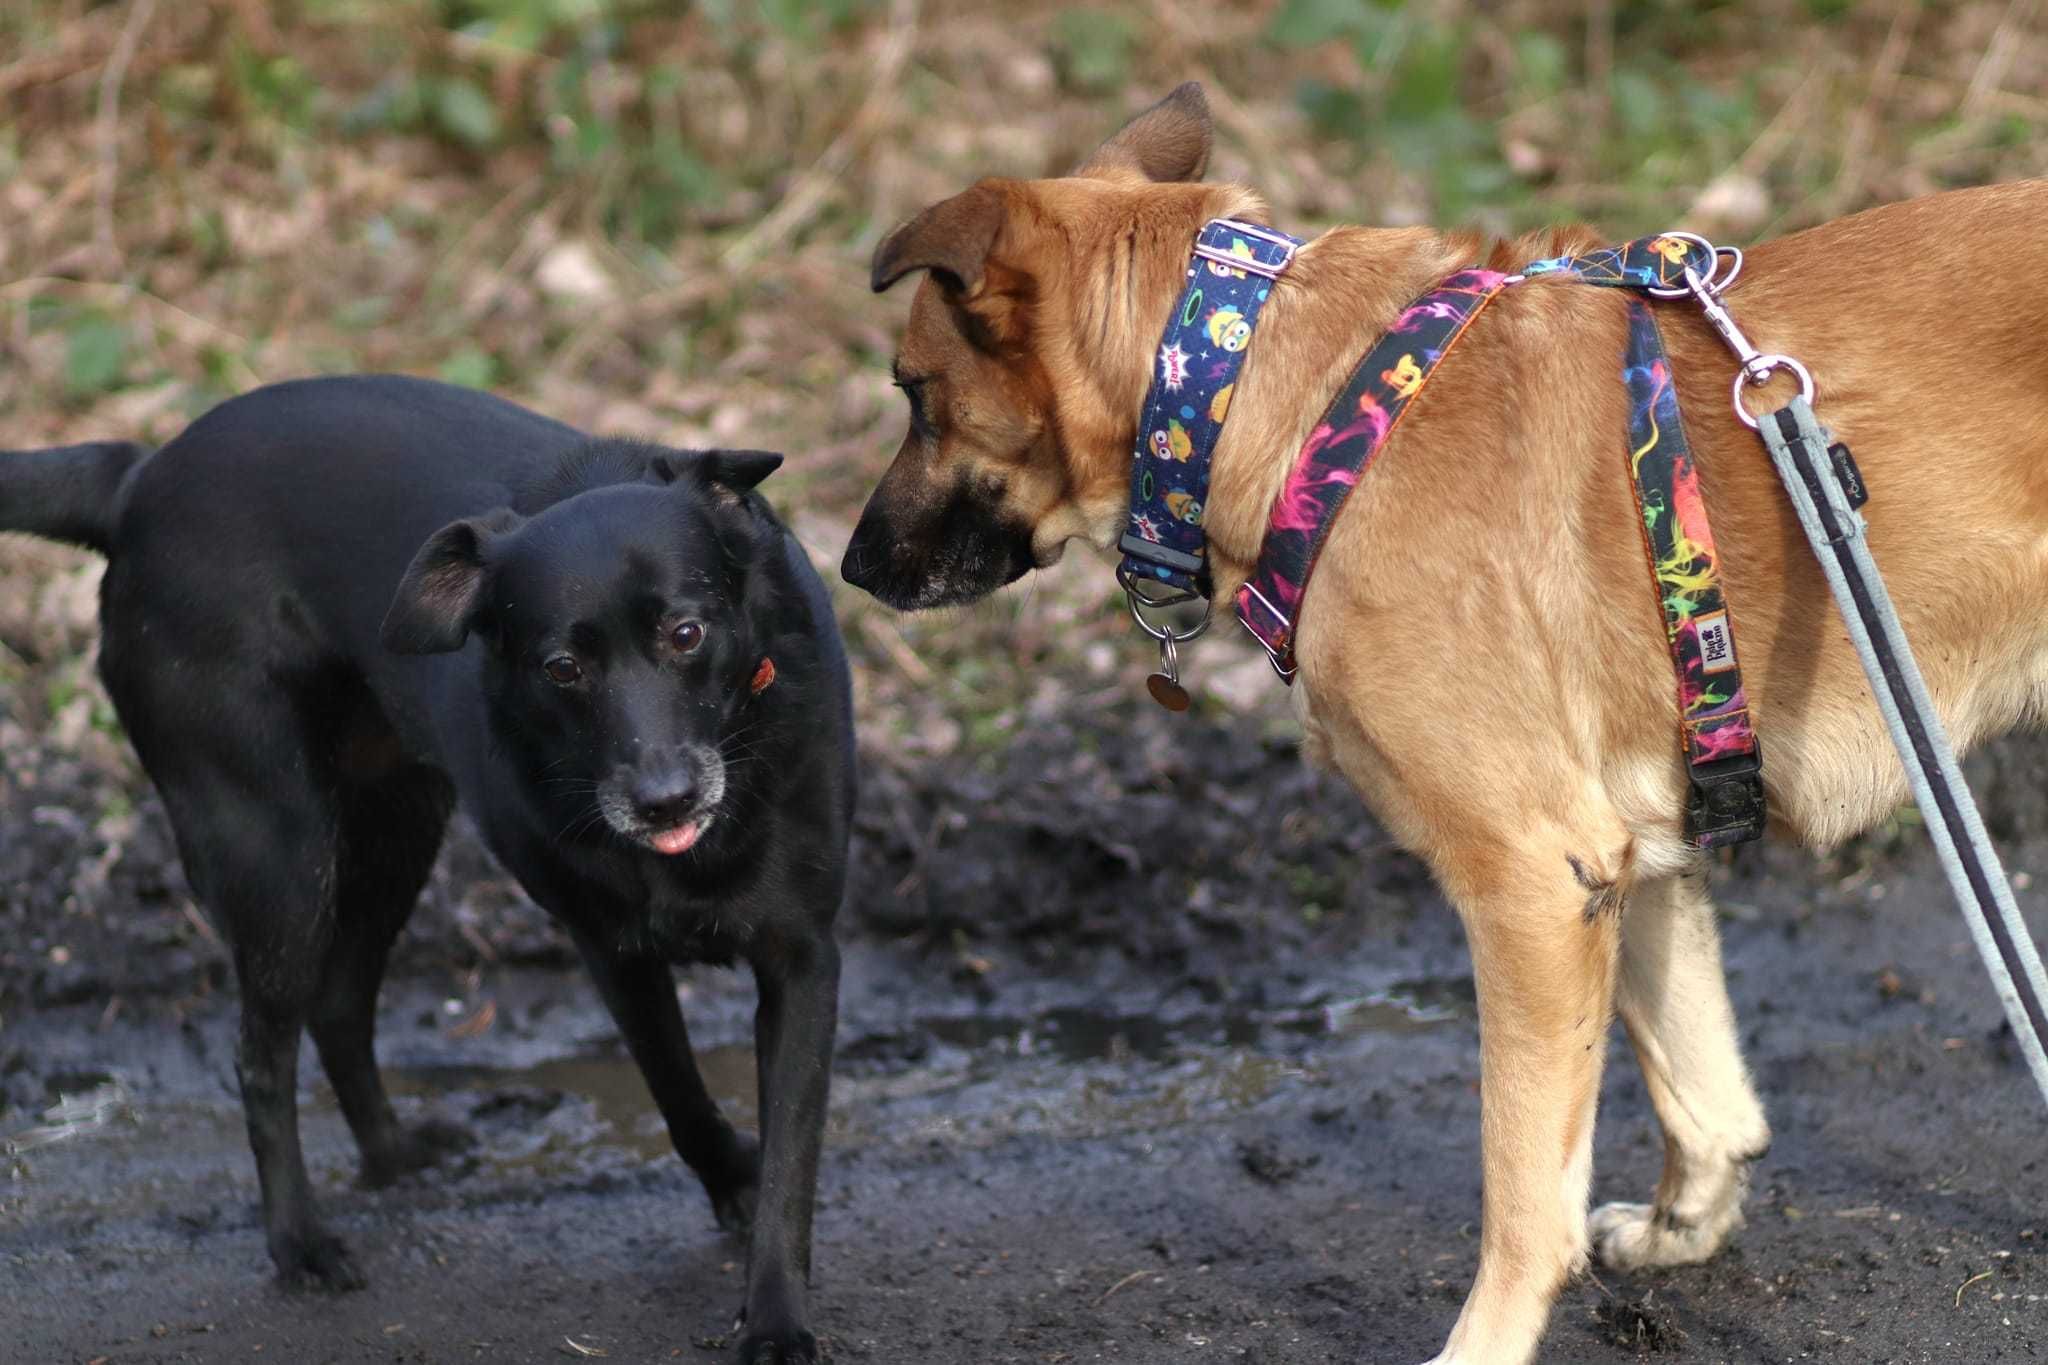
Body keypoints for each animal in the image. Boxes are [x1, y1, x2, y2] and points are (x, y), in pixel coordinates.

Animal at [0, 376, 847, 1365]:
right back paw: (301, 1242)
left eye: (687, 631)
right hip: (274, 844)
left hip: (395, 825)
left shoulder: (803, 956)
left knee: (337, 1003)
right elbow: (677, 1088)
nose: (663, 800)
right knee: (261, 1051)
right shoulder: (613, 951)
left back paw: (393, 1155)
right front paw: (735, 1193)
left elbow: (794, 1152)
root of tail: (140, 477)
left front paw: (775, 1308)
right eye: (562, 667)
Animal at [835, 82, 2048, 1358]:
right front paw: (1686, 1222)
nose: (850, 569)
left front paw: (1484, 1341)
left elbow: (1523, 1199)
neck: (1270, 394)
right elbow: (1698, 1081)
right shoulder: (1630, 853)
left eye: (912, 396)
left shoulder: (1530, 882)